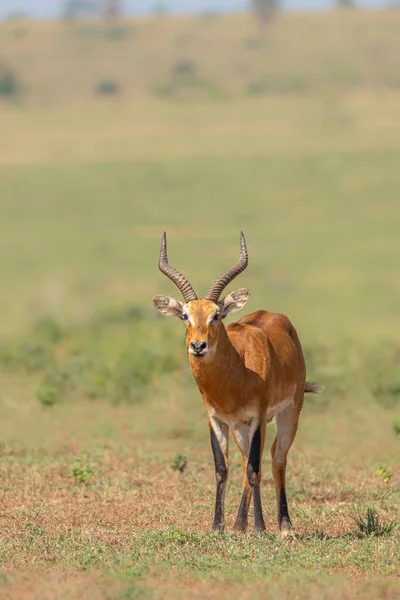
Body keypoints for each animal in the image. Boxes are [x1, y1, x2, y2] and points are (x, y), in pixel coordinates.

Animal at [152, 231, 320, 536]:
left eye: (216, 315)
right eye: (185, 315)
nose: (198, 346)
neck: (238, 371)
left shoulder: (257, 418)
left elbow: (255, 469)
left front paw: (261, 528)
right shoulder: (216, 419)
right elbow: (222, 469)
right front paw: (218, 527)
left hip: (289, 414)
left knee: (276, 458)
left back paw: (284, 526)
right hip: (241, 428)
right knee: (245, 463)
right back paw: (239, 524)